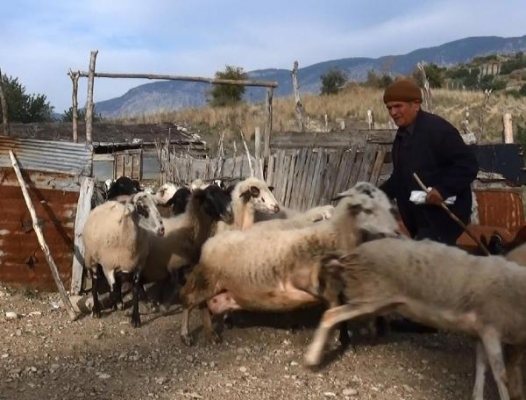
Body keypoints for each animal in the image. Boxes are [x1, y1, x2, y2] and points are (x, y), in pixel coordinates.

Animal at [82, 192, 165, 326]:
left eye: (156, 205)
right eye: (141, 207)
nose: (161, 230)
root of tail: (106, 203)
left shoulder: (138, 265)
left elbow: (134, 289)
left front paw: (135, 318)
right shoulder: (108, 267)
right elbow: (113, 290)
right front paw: (113, 304)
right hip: (91, 258)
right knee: (95, 283)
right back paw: (97, 310)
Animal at [177, 183, 400, 346]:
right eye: (368, 209)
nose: (397, 232)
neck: (334, 233)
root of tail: (210, 243)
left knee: (203, 305)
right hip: (207, 281)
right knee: (187, 300)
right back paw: (187, 334)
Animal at [304, 238, 526, 400]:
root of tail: (352, 254)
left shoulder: (479, 331)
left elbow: (482, 369)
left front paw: (477, 396)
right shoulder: (491, 327)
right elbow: (501, 375)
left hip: (378, 301)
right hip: (370, 297)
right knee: (331, 314)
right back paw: (312, 358)